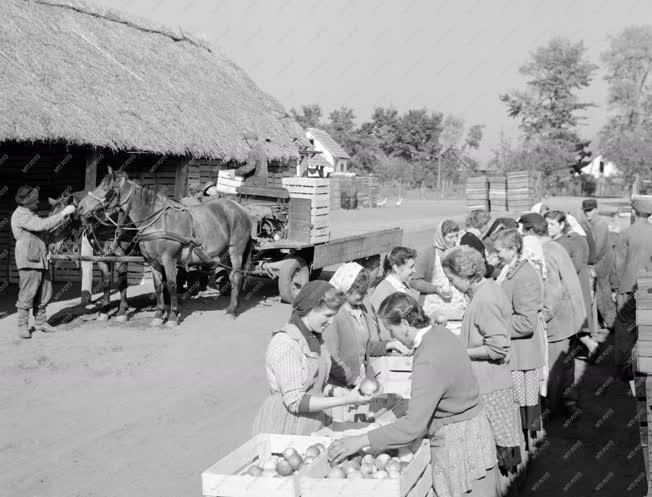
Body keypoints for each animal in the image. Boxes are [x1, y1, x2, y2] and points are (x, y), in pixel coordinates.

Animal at [47, 190, 137, 322]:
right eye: (50, 215)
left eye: (66, 218)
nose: (51, 247)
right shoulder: (102, 257)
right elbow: (106, 282)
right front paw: (105, 310)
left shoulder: (122, 257)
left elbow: (122, 283)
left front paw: (122, 311)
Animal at [75, 166, 251, 326]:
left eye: (106, 188)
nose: (80, 207)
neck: (156, 222)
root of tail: (240, 208)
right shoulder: (151, 261)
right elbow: (158, 285)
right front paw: (159, 315)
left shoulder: (168, 259)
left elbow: (171, 285)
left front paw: (172, 316)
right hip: (224, 253)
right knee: (231, 276)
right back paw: (230, 305)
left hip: (236, 250)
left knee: (236, 276)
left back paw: (232, 310)